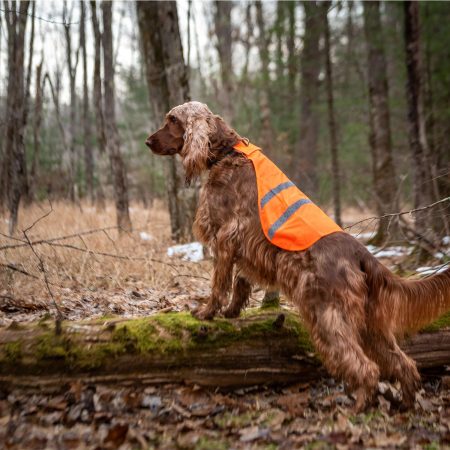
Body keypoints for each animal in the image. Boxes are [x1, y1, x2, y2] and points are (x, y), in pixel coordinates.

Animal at [147, 100, 450, 410]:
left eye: (172, 120)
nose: (148, 141)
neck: (227, 151)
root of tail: (361, 252)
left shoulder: (225, 237)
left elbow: (220, 283)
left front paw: (207, 312)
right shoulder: (243, 244)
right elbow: (241, 282)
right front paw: (232, 311)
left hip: (326, 313)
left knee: (364, 366)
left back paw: (358, 407)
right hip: (370, 323)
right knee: (403, 363)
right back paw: (406, 404)